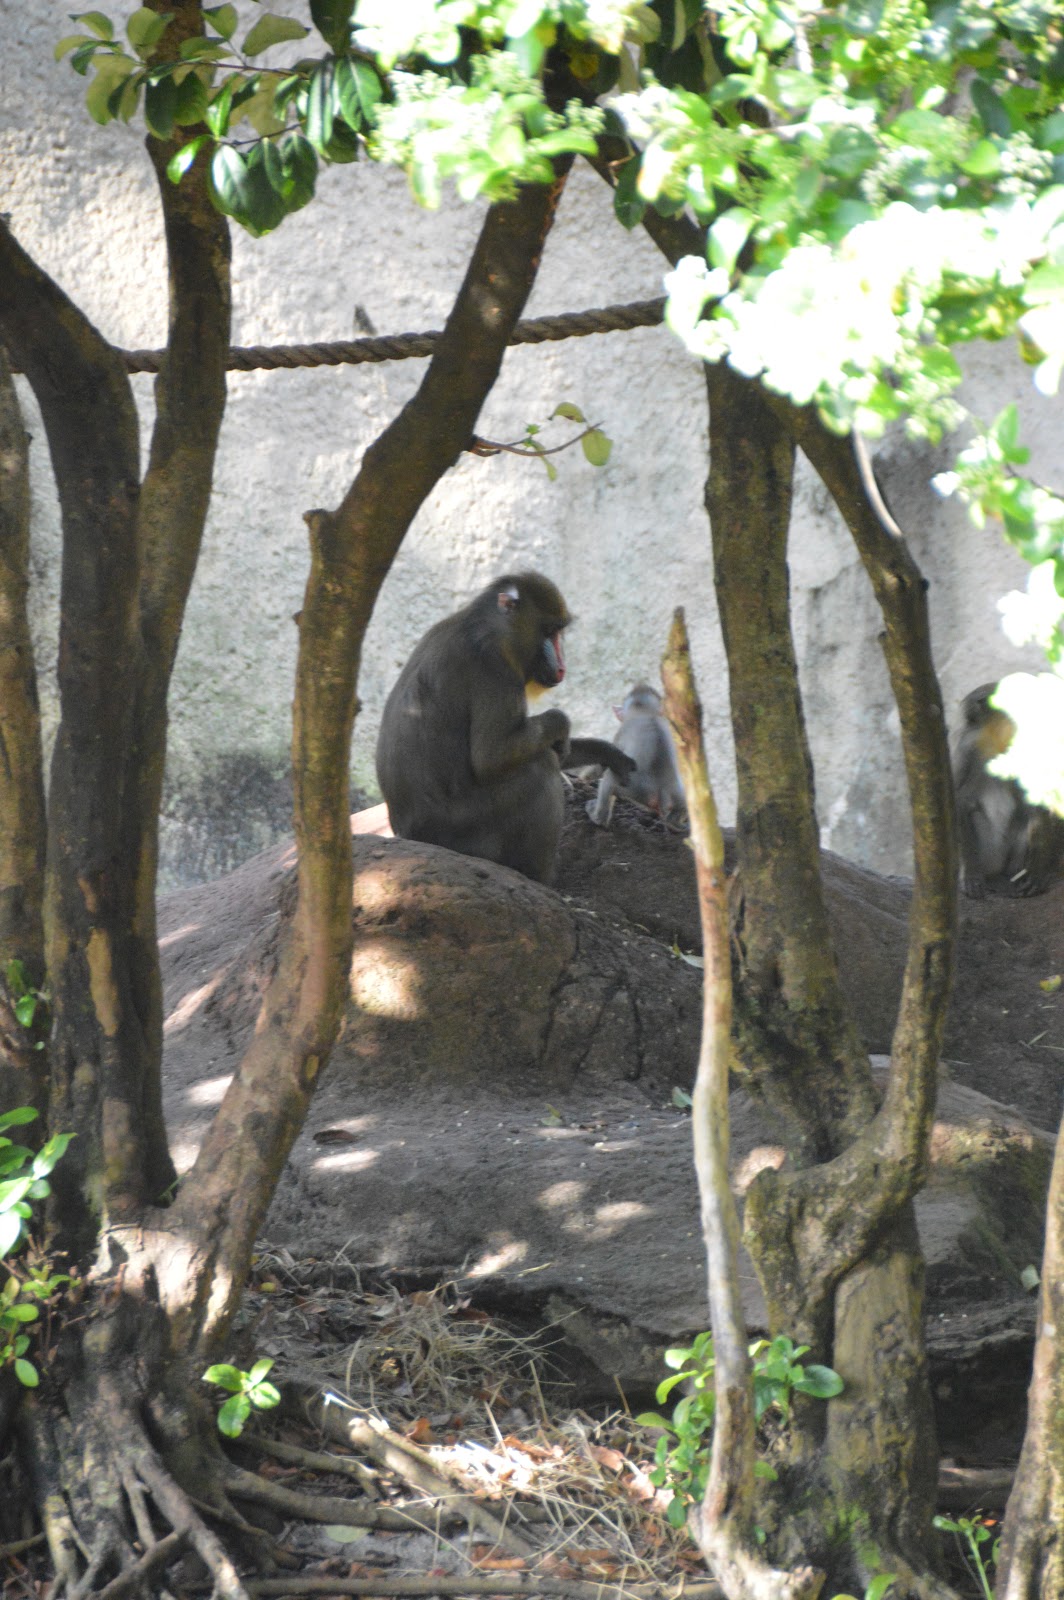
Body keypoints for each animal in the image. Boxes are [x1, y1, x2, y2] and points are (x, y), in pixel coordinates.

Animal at [376, 572, 634, 884]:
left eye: (559, 632)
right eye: (549, 630)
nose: (562, 667)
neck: (484, 625)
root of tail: (412, 834)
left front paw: (611, 754)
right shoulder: (494, 668)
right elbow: (493, 757)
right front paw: (560, 722)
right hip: (471, 831)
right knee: (540, 766)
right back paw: (540, 875)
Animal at [586, 681, 685, 828]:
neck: (645, 711)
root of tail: (661, 791)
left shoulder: (622, 731)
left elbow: (610, 757)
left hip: (633, 788)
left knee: (609, 779)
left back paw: (598, 817)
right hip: (677, 794)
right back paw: (675, 823)